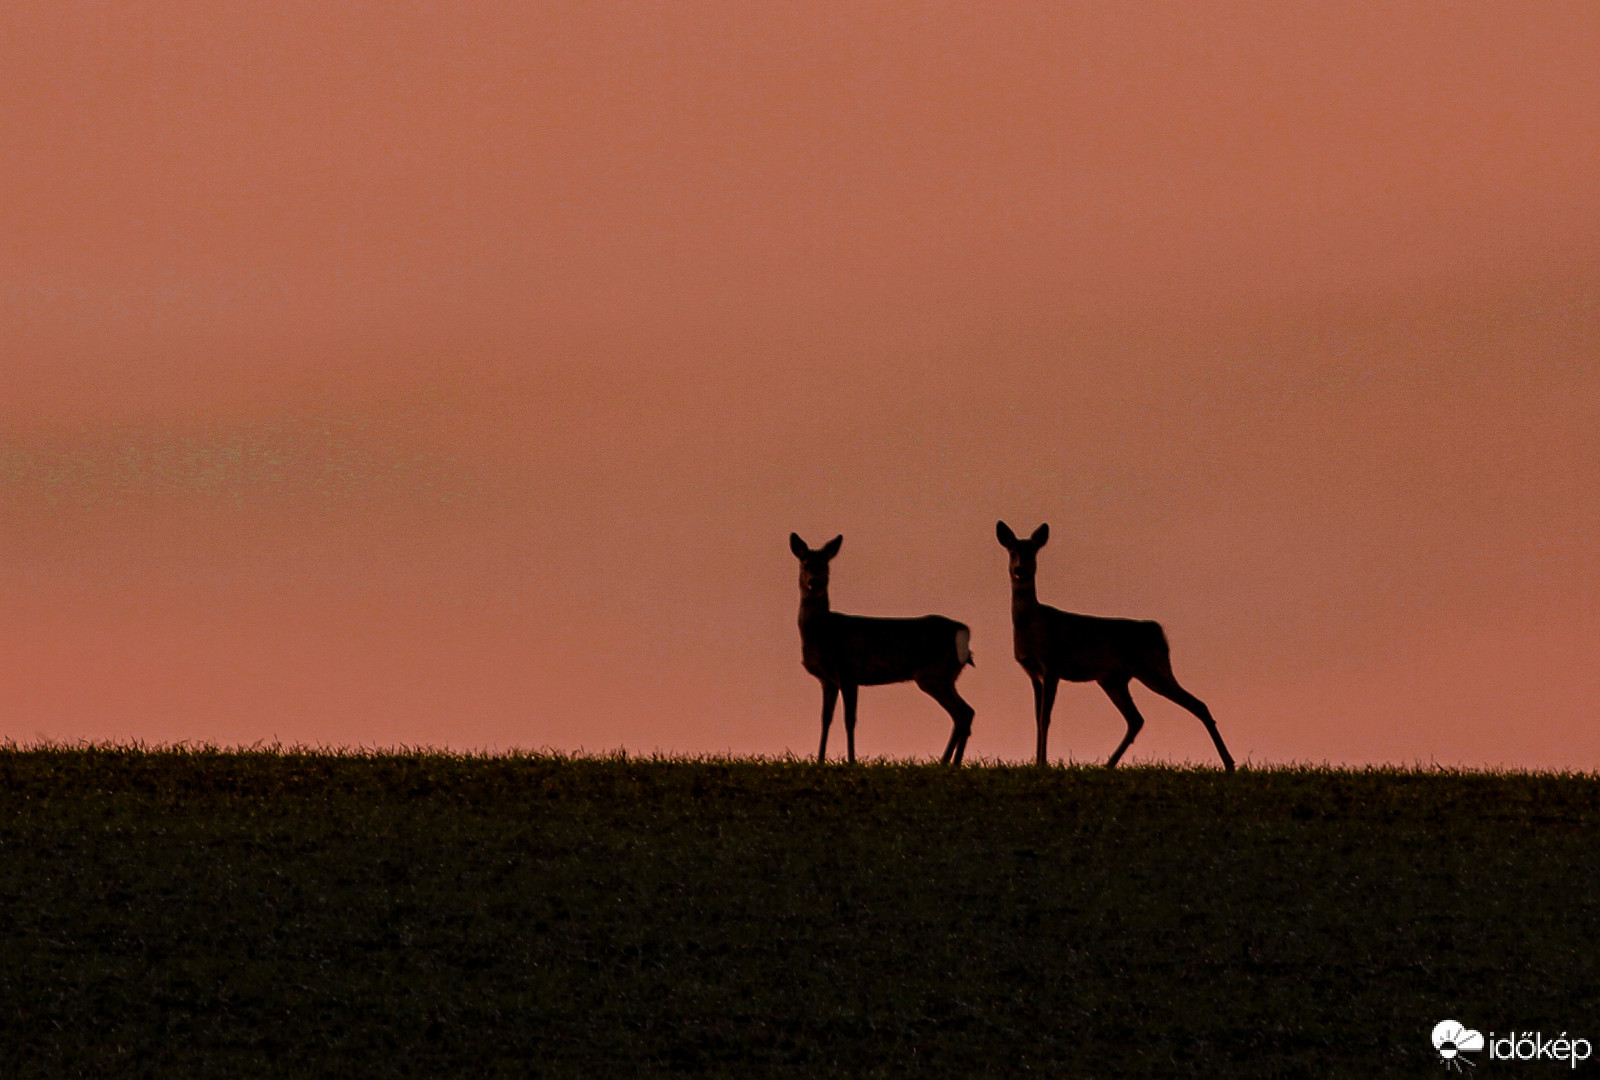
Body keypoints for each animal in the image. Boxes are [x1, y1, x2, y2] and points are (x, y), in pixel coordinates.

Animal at [787, 537, 972, 764]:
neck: (823, 632)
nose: (814, 581)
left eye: (825, 566)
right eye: (805, 565)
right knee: (966, 712)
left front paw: (851, 761)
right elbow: (825, 719)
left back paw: (947, 762)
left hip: (934, 675)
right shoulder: (828, 680)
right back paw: (949, 763)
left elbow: (849, 719)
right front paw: (820, 760)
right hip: (946, 677)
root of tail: (962, 631)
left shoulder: (848, 672)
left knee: (961, 714)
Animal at [985, 521, 1235, 768]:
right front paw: (1038, 762)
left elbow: (1045, 718)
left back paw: (1229, 763)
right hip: (1113, 679)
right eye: (1012, 551)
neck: (1033, 626)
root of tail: (1158, 631)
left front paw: (1042, 763)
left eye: (1033, 552)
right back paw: (1108, 764)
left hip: (1153, 668)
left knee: (1197, 705)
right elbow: (1037, 719)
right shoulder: (1033, 673)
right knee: (1136, 718)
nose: (1020, 570)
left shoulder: (1052, 667)